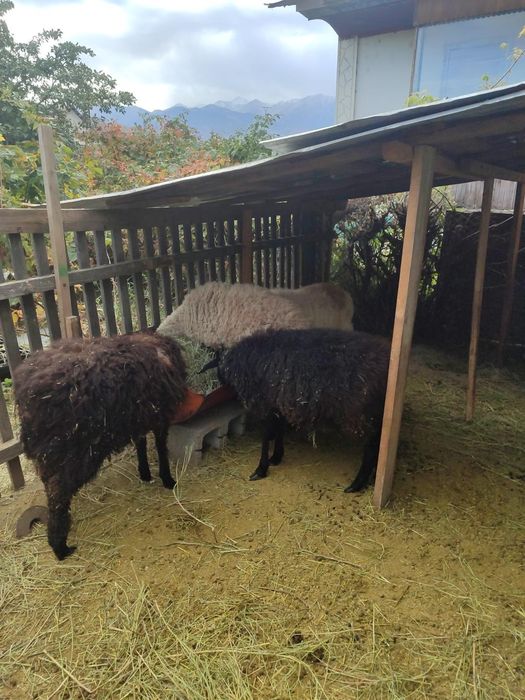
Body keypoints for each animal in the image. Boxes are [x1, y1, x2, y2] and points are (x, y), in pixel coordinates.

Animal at [13, 332, 187, 560]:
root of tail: (28, 391)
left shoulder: (138, 416)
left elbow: (140, 443)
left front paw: (145, 473)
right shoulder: (160, 414)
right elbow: (160, 447)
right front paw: (168, 479)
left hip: (49, 453)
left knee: (51, 491)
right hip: (72, 452)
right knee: (58, 495)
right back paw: (60, 547)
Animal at [202, 328, 389, 493]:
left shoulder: (269, 404)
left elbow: (266, 436)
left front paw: (261, 469)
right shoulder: (279, 405)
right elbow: (279, 431)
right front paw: (276, 457)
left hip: (365, 415)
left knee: (371, 448)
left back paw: (357, 484)